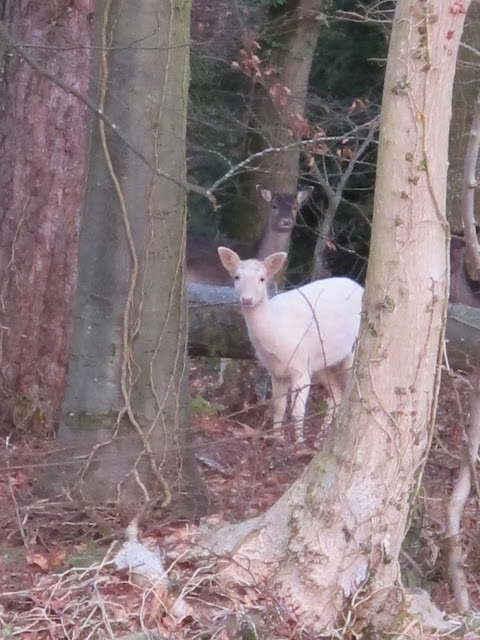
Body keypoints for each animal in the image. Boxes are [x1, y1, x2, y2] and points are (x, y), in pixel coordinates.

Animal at [217, 247, 364, 443]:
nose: (247, 299)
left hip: (350, 354)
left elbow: (297, 410)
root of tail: (360, 286)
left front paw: (299, 442)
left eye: (262, 278)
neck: (278, 337)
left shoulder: (301, 366)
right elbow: (278, 406)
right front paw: (277, 437)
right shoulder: (277, 372)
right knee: (336, 394)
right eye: (236, 277)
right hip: (325, 364)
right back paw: (321, 436)